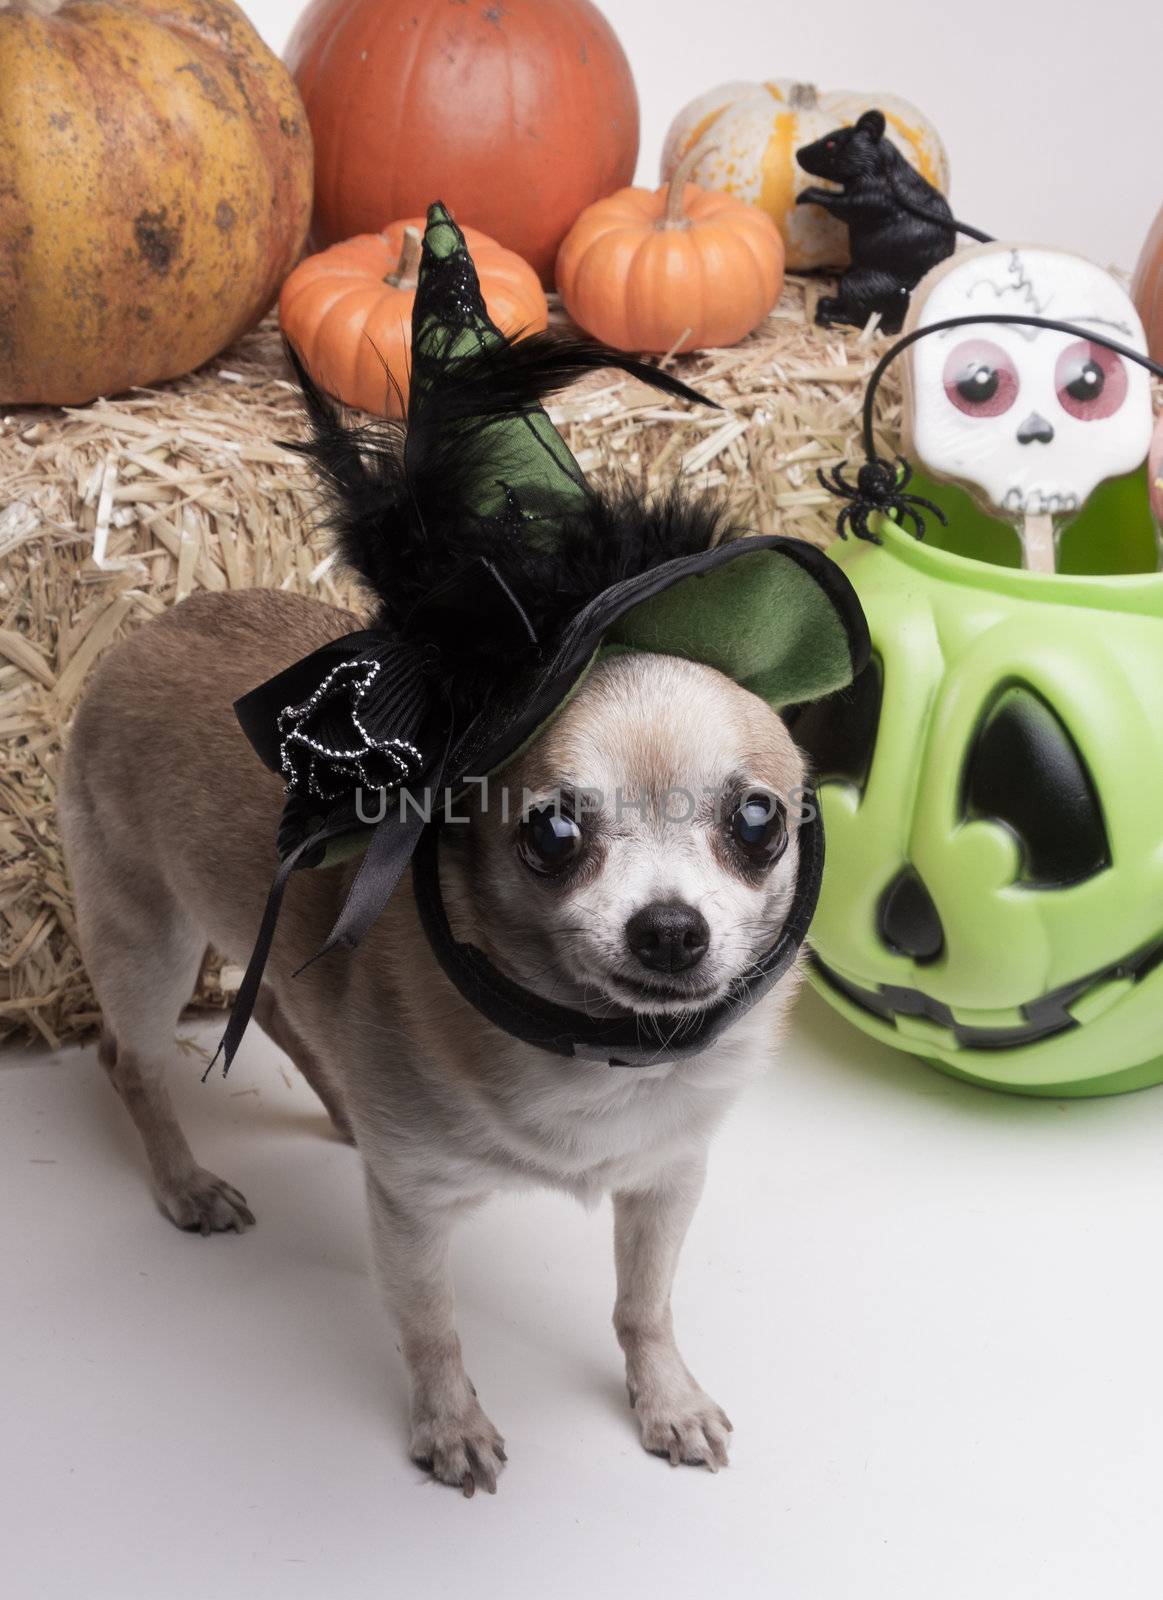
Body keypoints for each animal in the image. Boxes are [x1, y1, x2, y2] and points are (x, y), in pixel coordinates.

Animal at [61, 585, 809, 1484]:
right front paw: (450, 1425)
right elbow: (430, 1326)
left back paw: (344, 1104)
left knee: (275, 1007)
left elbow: (645, 1304)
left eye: (758, 823)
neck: (596, 1049)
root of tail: (154, 622)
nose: (668, 928)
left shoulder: (666, 1179)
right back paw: (184, 1183)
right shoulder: (411, 1211)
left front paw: (668, 1398)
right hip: (151, 947)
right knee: (127, 1059)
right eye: (551, 835)